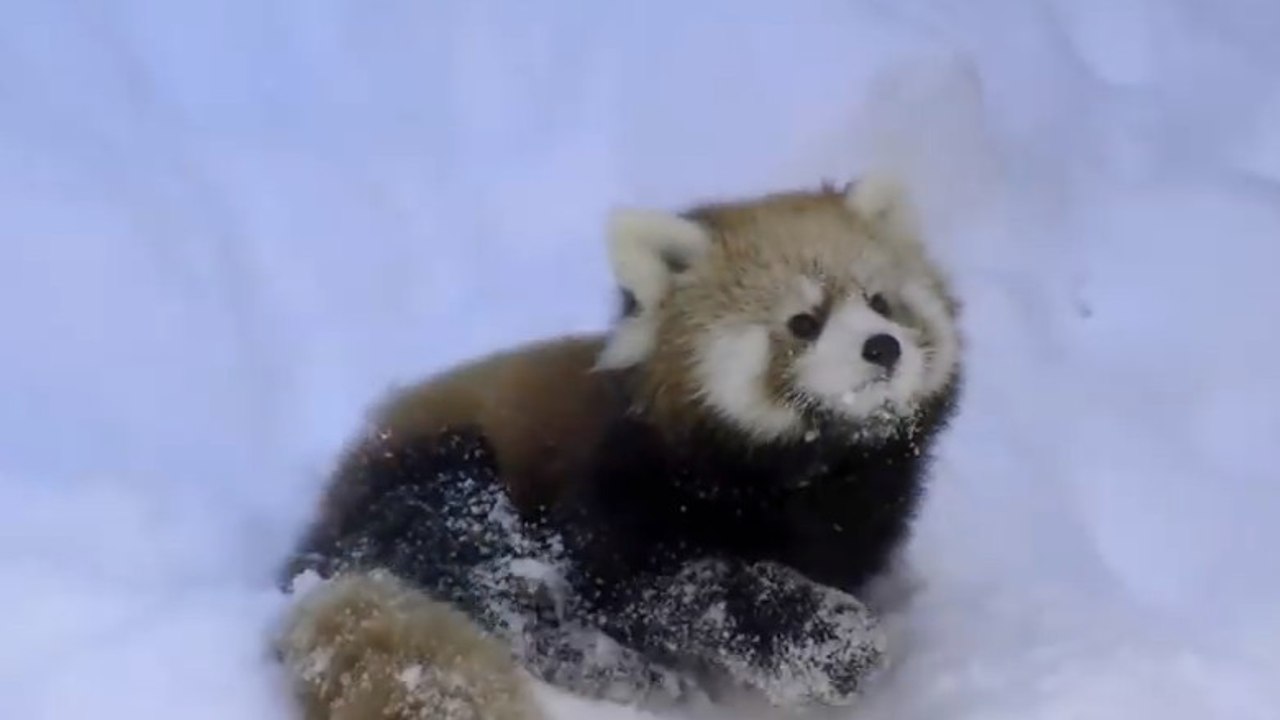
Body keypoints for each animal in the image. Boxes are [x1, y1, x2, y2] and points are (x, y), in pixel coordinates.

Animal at [273, 175, 964, 720]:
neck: (809, 474)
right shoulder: (615, 498)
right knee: (493, 578)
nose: (882, 347)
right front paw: (832, 641)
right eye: (804, 322)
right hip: (442, 475)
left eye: (880, 302)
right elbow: (686, 588)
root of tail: (313, 557)